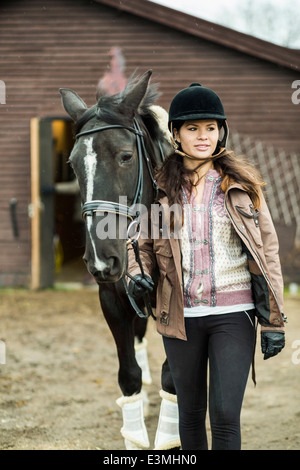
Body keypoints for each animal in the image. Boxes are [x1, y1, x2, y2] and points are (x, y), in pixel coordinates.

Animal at [59, 71, 179, 450]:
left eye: (126, 157)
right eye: (72, 164)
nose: (101, 259)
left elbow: (173, 375)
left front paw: (169, 437)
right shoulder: (112, 298)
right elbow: (129, 375)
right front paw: (136, 436)